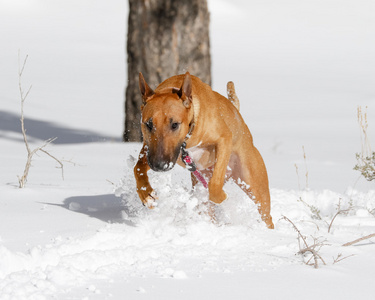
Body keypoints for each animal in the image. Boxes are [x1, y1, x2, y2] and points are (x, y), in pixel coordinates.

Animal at [134, 71, 274, 229]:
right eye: (148, 124)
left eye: (175, 124)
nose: (159, 165)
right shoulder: (149, 148)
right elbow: (138, 168)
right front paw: (146, 194)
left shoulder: (224, 139)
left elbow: (215, 183)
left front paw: (221, 197)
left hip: (253, 182)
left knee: (266, 214)